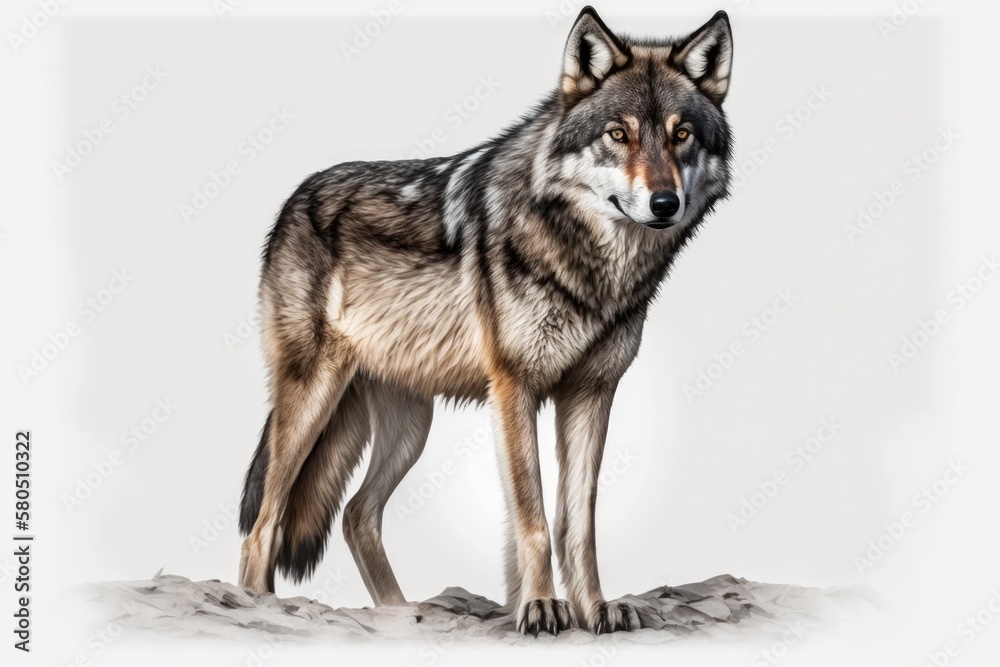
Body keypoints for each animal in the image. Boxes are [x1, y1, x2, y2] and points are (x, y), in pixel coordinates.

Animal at [238, 6, 734, 636]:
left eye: (681, 134)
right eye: (617, 134)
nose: (665, 203)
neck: (590, 268)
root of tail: (291, 202)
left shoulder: (591, 392)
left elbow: (578, 524)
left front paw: (593, 609)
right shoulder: (513, 387)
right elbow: (534, 520)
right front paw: (541, 607)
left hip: (408, 425)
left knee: (356, 514)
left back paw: (403, 613)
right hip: (315, 400)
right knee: (265, 523)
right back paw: (259, 608)